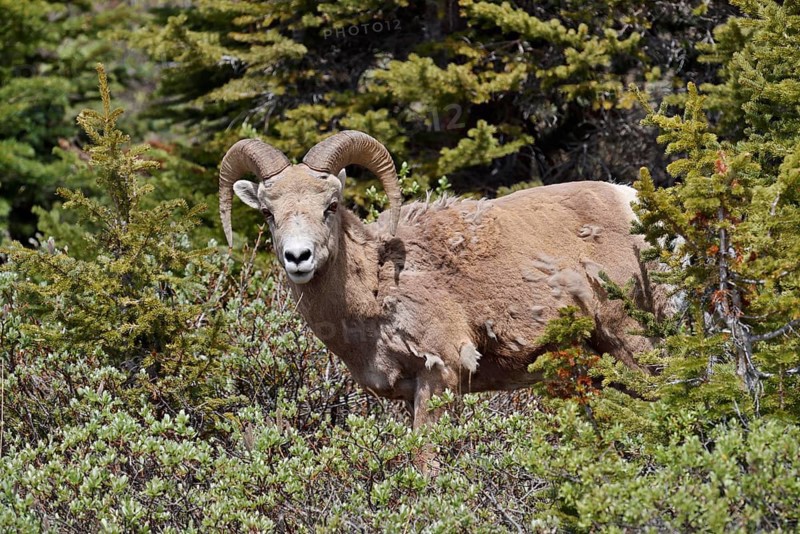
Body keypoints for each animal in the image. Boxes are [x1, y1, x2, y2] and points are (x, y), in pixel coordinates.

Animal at [219, 130, 666, 433]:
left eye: (330, 206)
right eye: (268, 214)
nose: (299, 258)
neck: (377, 292)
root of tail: (630, 203)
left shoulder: (441, 375)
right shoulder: (406, 393)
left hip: (629, 337)